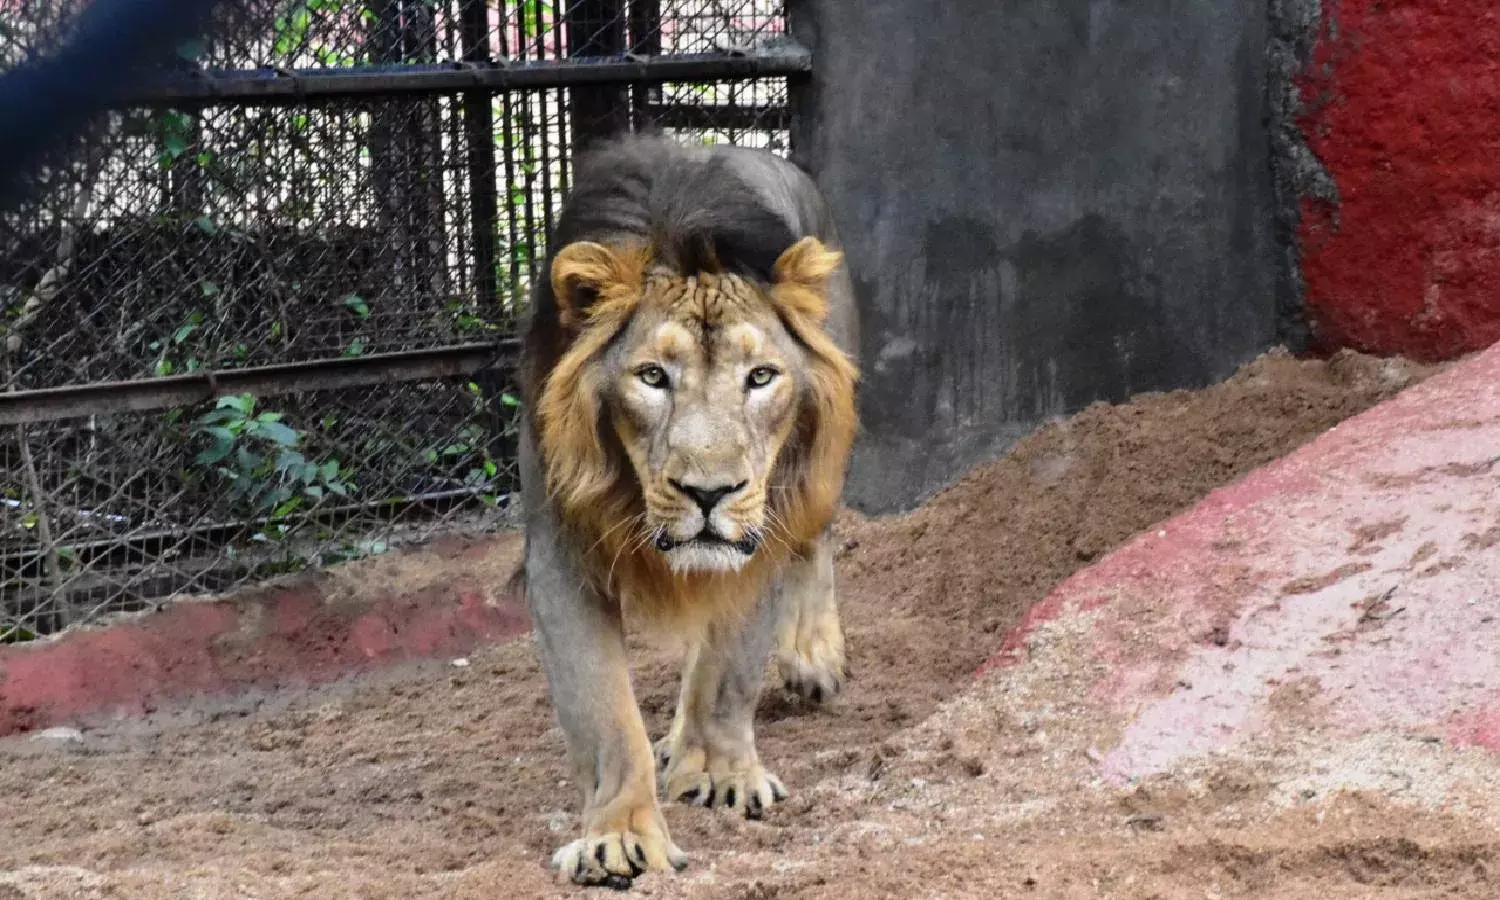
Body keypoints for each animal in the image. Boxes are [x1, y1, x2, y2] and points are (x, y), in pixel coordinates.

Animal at [514, 134, 860, 888]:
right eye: (652, 376)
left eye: (760, 377)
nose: (710, 493)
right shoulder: (561, 554)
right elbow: (605, 714)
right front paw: (619, 834)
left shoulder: (758, 534)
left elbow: (730, 670)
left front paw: (726, 772)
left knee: (815, 541)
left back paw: (811, 659)